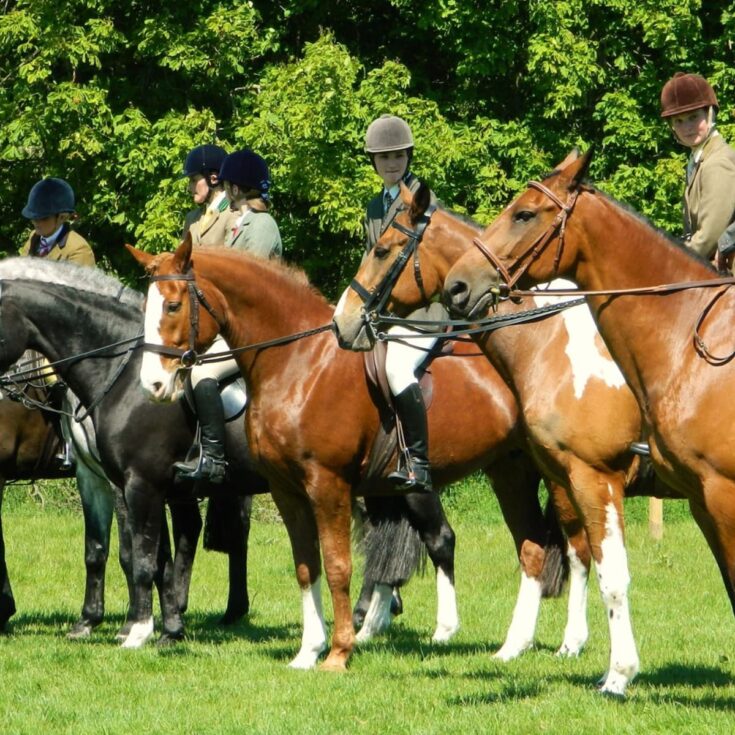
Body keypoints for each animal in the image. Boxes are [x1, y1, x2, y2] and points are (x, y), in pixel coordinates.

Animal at [0, 257, 267, 646]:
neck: (120, 373)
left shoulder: (136, 483)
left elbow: (136, 555)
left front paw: (136, 629)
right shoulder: (100, 478)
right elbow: (118, 552)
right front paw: (149, 626)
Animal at [129, 238, 568, 672]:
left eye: (173, 305)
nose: (153, 384)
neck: (301, 361)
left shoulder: (328, 486)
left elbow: (339, 566)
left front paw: (339, 652)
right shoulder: (287, 491)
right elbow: (306, 566)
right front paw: (308, 651)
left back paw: (567, 643)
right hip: (509, 470)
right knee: (532, 548)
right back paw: (514, 646)